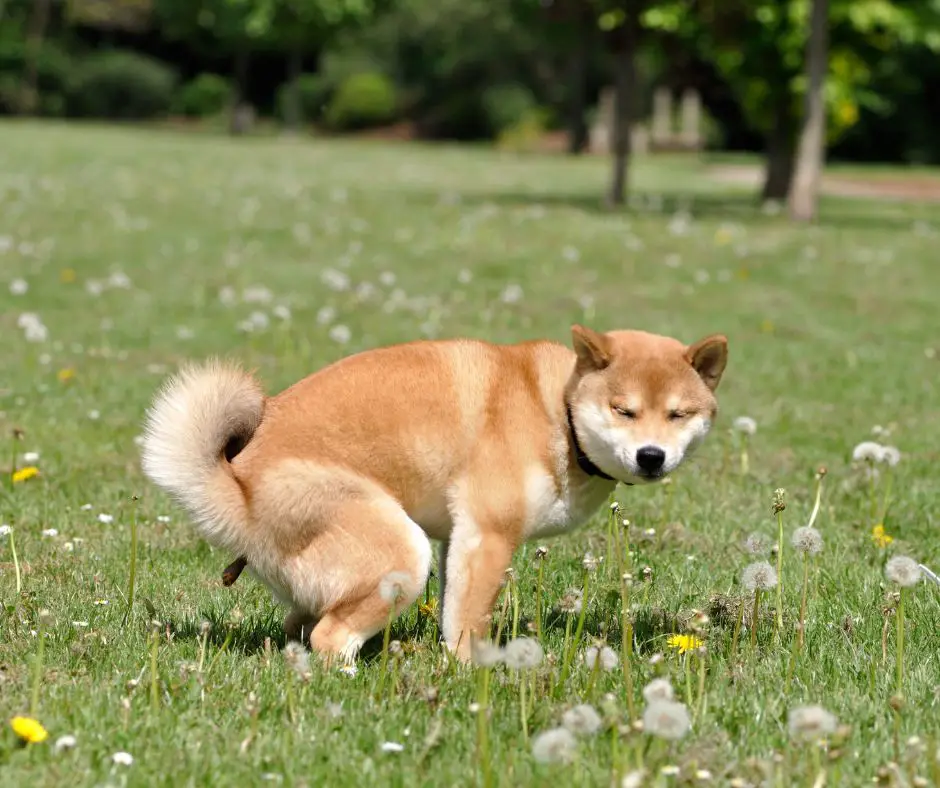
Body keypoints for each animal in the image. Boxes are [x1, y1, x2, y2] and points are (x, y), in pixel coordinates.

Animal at [140, 324, 728, 660]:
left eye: (678, 414)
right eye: (623, 410)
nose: (651, 456)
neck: (556, 412)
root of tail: (239, 487)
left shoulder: (459, 539)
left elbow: (451, 610)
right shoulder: (488, 534)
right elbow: (468, 622)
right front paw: (471, 672)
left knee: (299, 630)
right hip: (400, 554)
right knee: (329, 638)